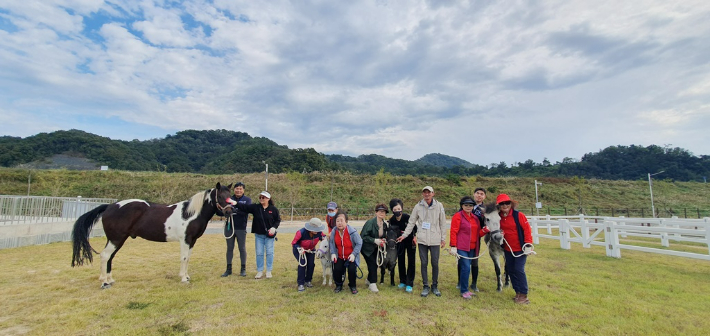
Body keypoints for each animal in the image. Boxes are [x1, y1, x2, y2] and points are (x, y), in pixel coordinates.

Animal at [70, 182, 231, 288]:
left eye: (230, 195)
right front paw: (184, 278)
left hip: (117, 240)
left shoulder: (192, 241)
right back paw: (104, 281)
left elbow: (188, 258)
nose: (230, 211)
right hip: (116, 239)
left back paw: (110, 280)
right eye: (221, 196)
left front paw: (186, 275)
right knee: (105, 256)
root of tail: (110, 206)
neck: (190, 213)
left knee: (110, 257)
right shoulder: (185, 240)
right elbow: (184, 258)